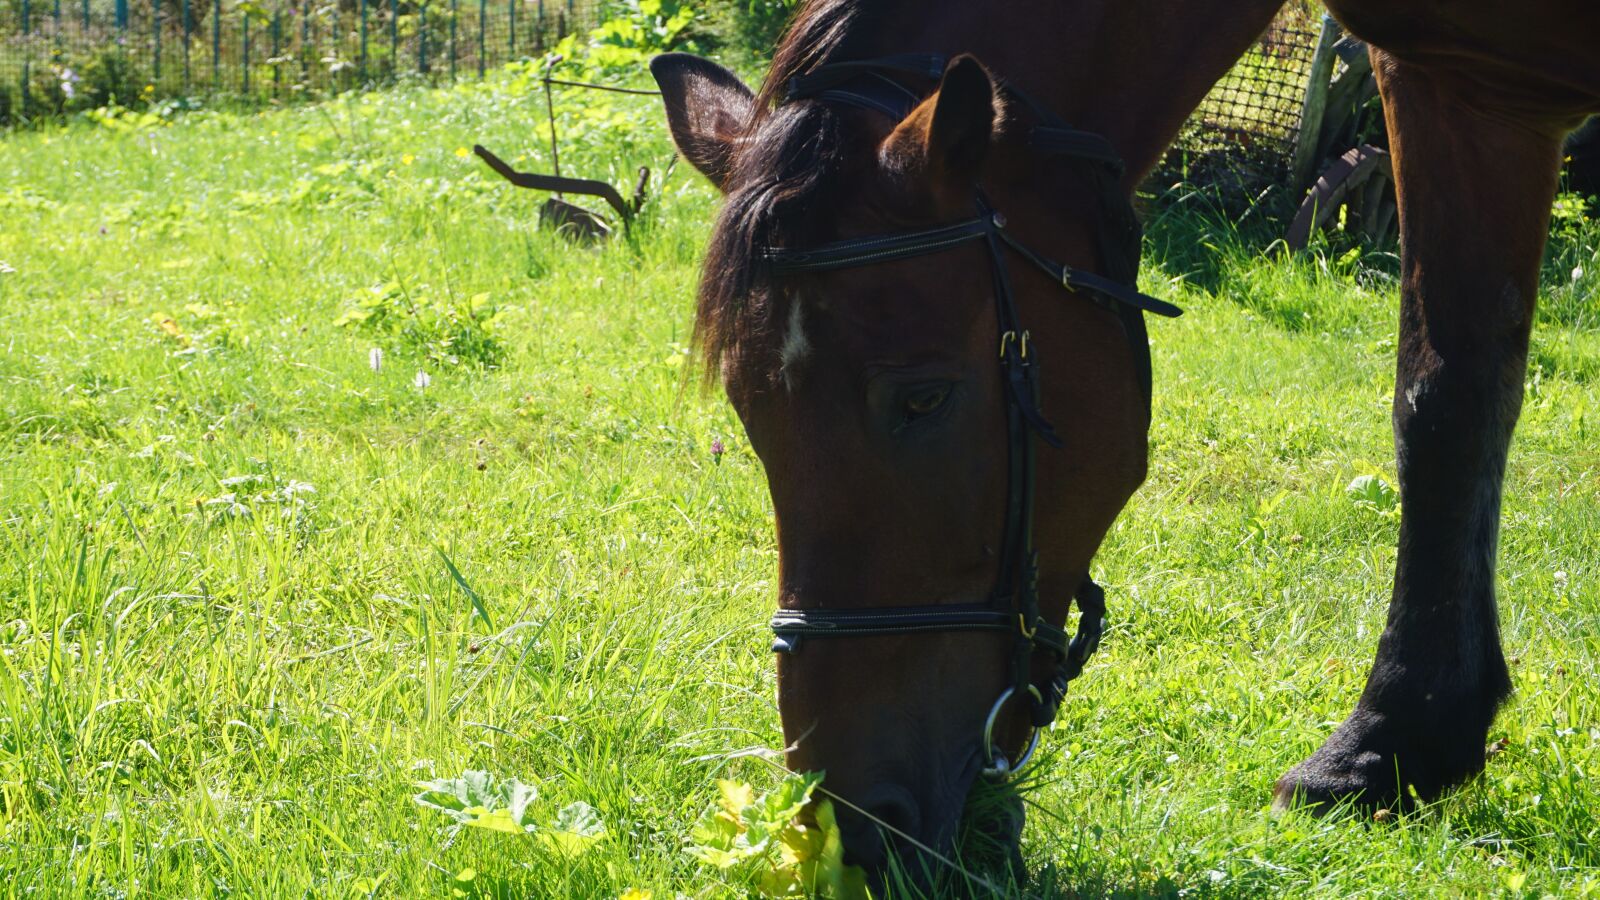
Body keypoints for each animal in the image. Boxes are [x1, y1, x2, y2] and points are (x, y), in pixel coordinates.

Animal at [650, 0, 1600, 880]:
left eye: (922, 398)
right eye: (748, 414)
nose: (851, 826)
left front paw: (1391, 740)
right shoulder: (1466, 87)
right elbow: (1446, 397)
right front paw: (1393, 748)